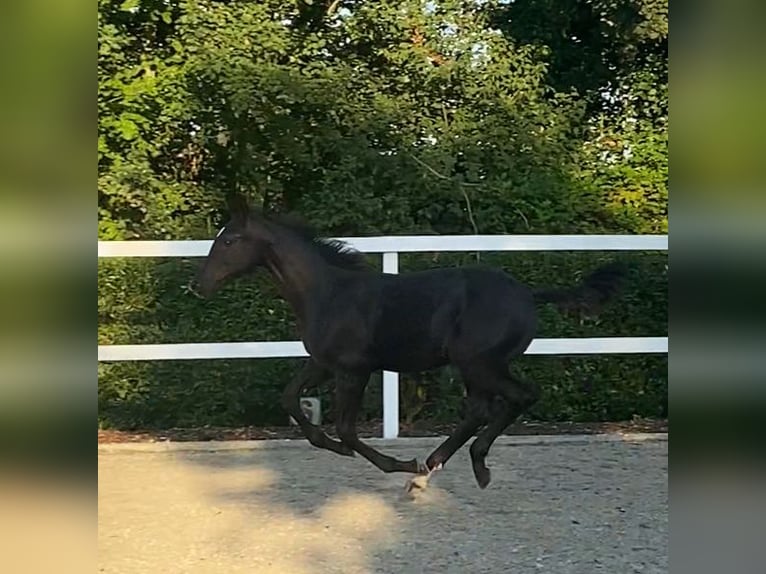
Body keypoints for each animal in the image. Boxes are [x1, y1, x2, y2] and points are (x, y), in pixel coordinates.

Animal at [190, 198, 624, 490]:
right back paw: (431, 470)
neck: (329, 293)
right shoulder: (323, 363)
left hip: (479, 363)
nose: (199, 286)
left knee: (519, 397)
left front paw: (395, 462)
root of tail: (529, 295)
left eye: (228, 241)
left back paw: (464, 466)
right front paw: (327, 443)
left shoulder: (353, 369)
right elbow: (290, 398)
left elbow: (347, 430)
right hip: (474, 367)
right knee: (480, 410)